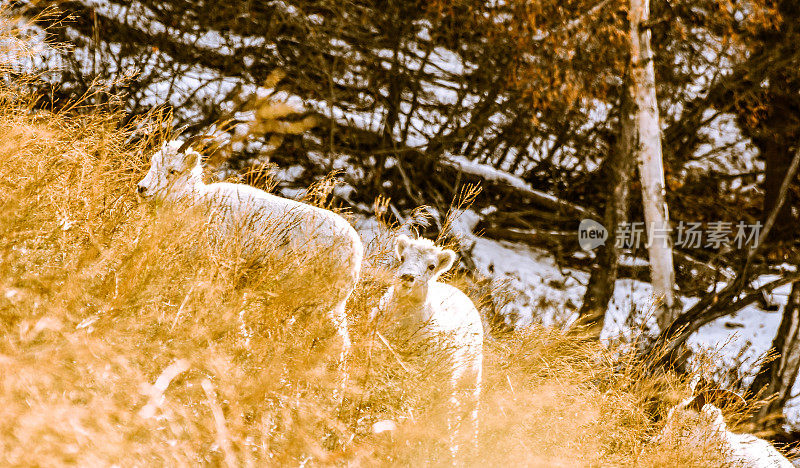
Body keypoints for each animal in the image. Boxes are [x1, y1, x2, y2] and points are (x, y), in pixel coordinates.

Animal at [138, 140, 362, 388]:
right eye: (153, 163)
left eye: (173, 171)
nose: (142, 189)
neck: (199, 204)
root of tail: (356, 253)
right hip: (327, 306)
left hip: (316, 305)